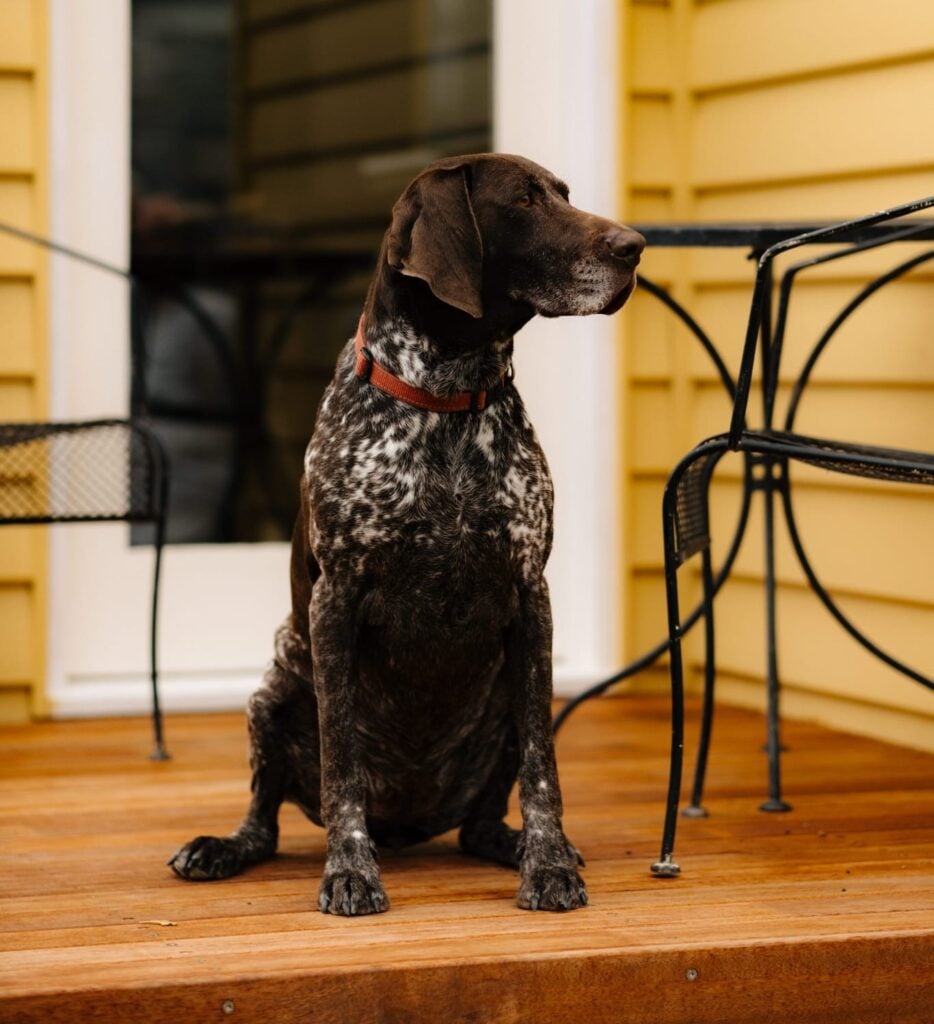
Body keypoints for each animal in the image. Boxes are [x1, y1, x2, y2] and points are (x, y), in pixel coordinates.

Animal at [168, 153, 644, 915]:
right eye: (525, 201)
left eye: (564, 195)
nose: (635, 246)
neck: (448, 399)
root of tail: (410, 822)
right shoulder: (336, 601)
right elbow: (342, 765)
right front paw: (350, 872)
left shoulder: (530, 598)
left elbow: (544, 770)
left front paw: (547, 863)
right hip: (271, 694)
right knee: (264, 824)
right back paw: (223, 848)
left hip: (504, 705)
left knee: (481, 822)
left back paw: (518, 846)